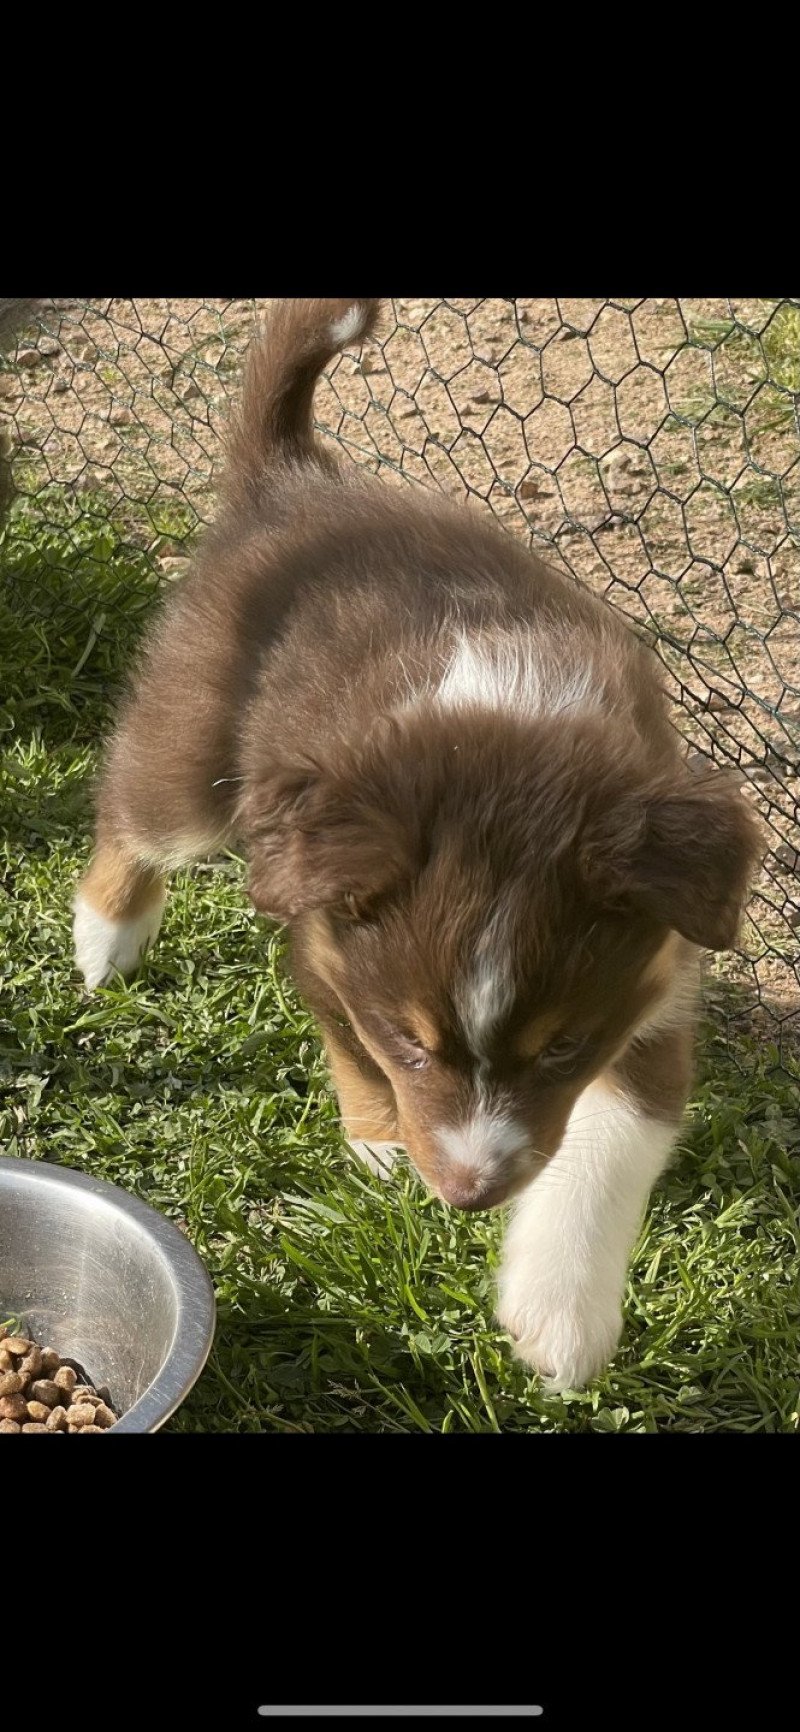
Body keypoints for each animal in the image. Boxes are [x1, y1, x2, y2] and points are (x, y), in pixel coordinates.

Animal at [71, 290, 758, 1385]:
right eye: (412, 1040)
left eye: (565, 1046)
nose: (469, 1194)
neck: (507, 738)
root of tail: (293, 479)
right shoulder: (325, 939)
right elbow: (349, 1041)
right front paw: (382, 1144)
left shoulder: (657, 988)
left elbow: (615, 1141)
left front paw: (559, 1320)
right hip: (195, 754)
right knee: (133, 813)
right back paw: (106, 938)